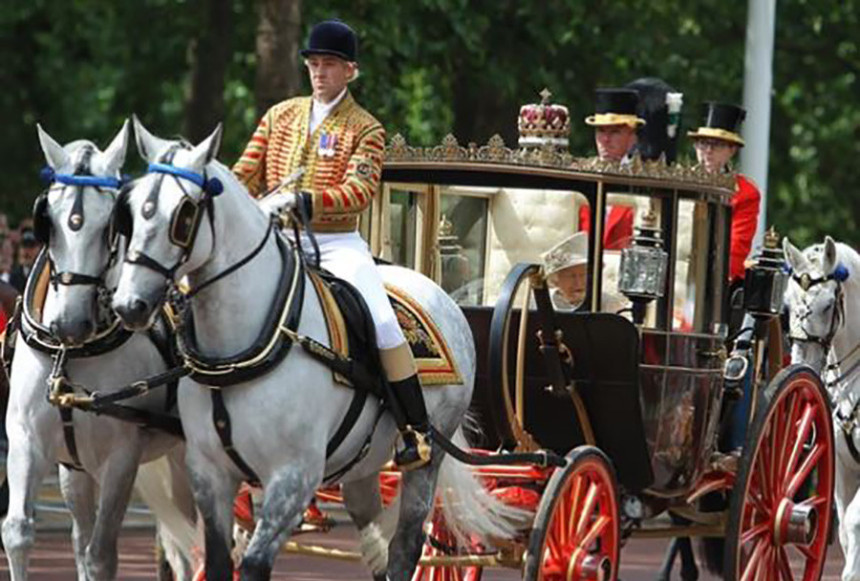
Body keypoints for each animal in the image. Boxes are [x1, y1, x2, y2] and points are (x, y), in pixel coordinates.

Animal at [2, 123, 200, 580]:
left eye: (111, 224)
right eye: (48, 222)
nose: (69, 324)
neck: (71, 354)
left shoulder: (121, 457)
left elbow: (102, 553)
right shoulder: (25, 439)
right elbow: (19, 532)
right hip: (80, 469)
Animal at [110, 119, 520, 580]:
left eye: (183, 214)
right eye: (131, 209)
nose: (129, 305)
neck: (242, 350)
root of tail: (444, 297)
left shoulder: (294, 476)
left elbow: (253, 565)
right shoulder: (209, 473)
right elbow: (217, 562)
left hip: (424, 465)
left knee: (404, 547)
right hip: (361, 468)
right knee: (375, 543)